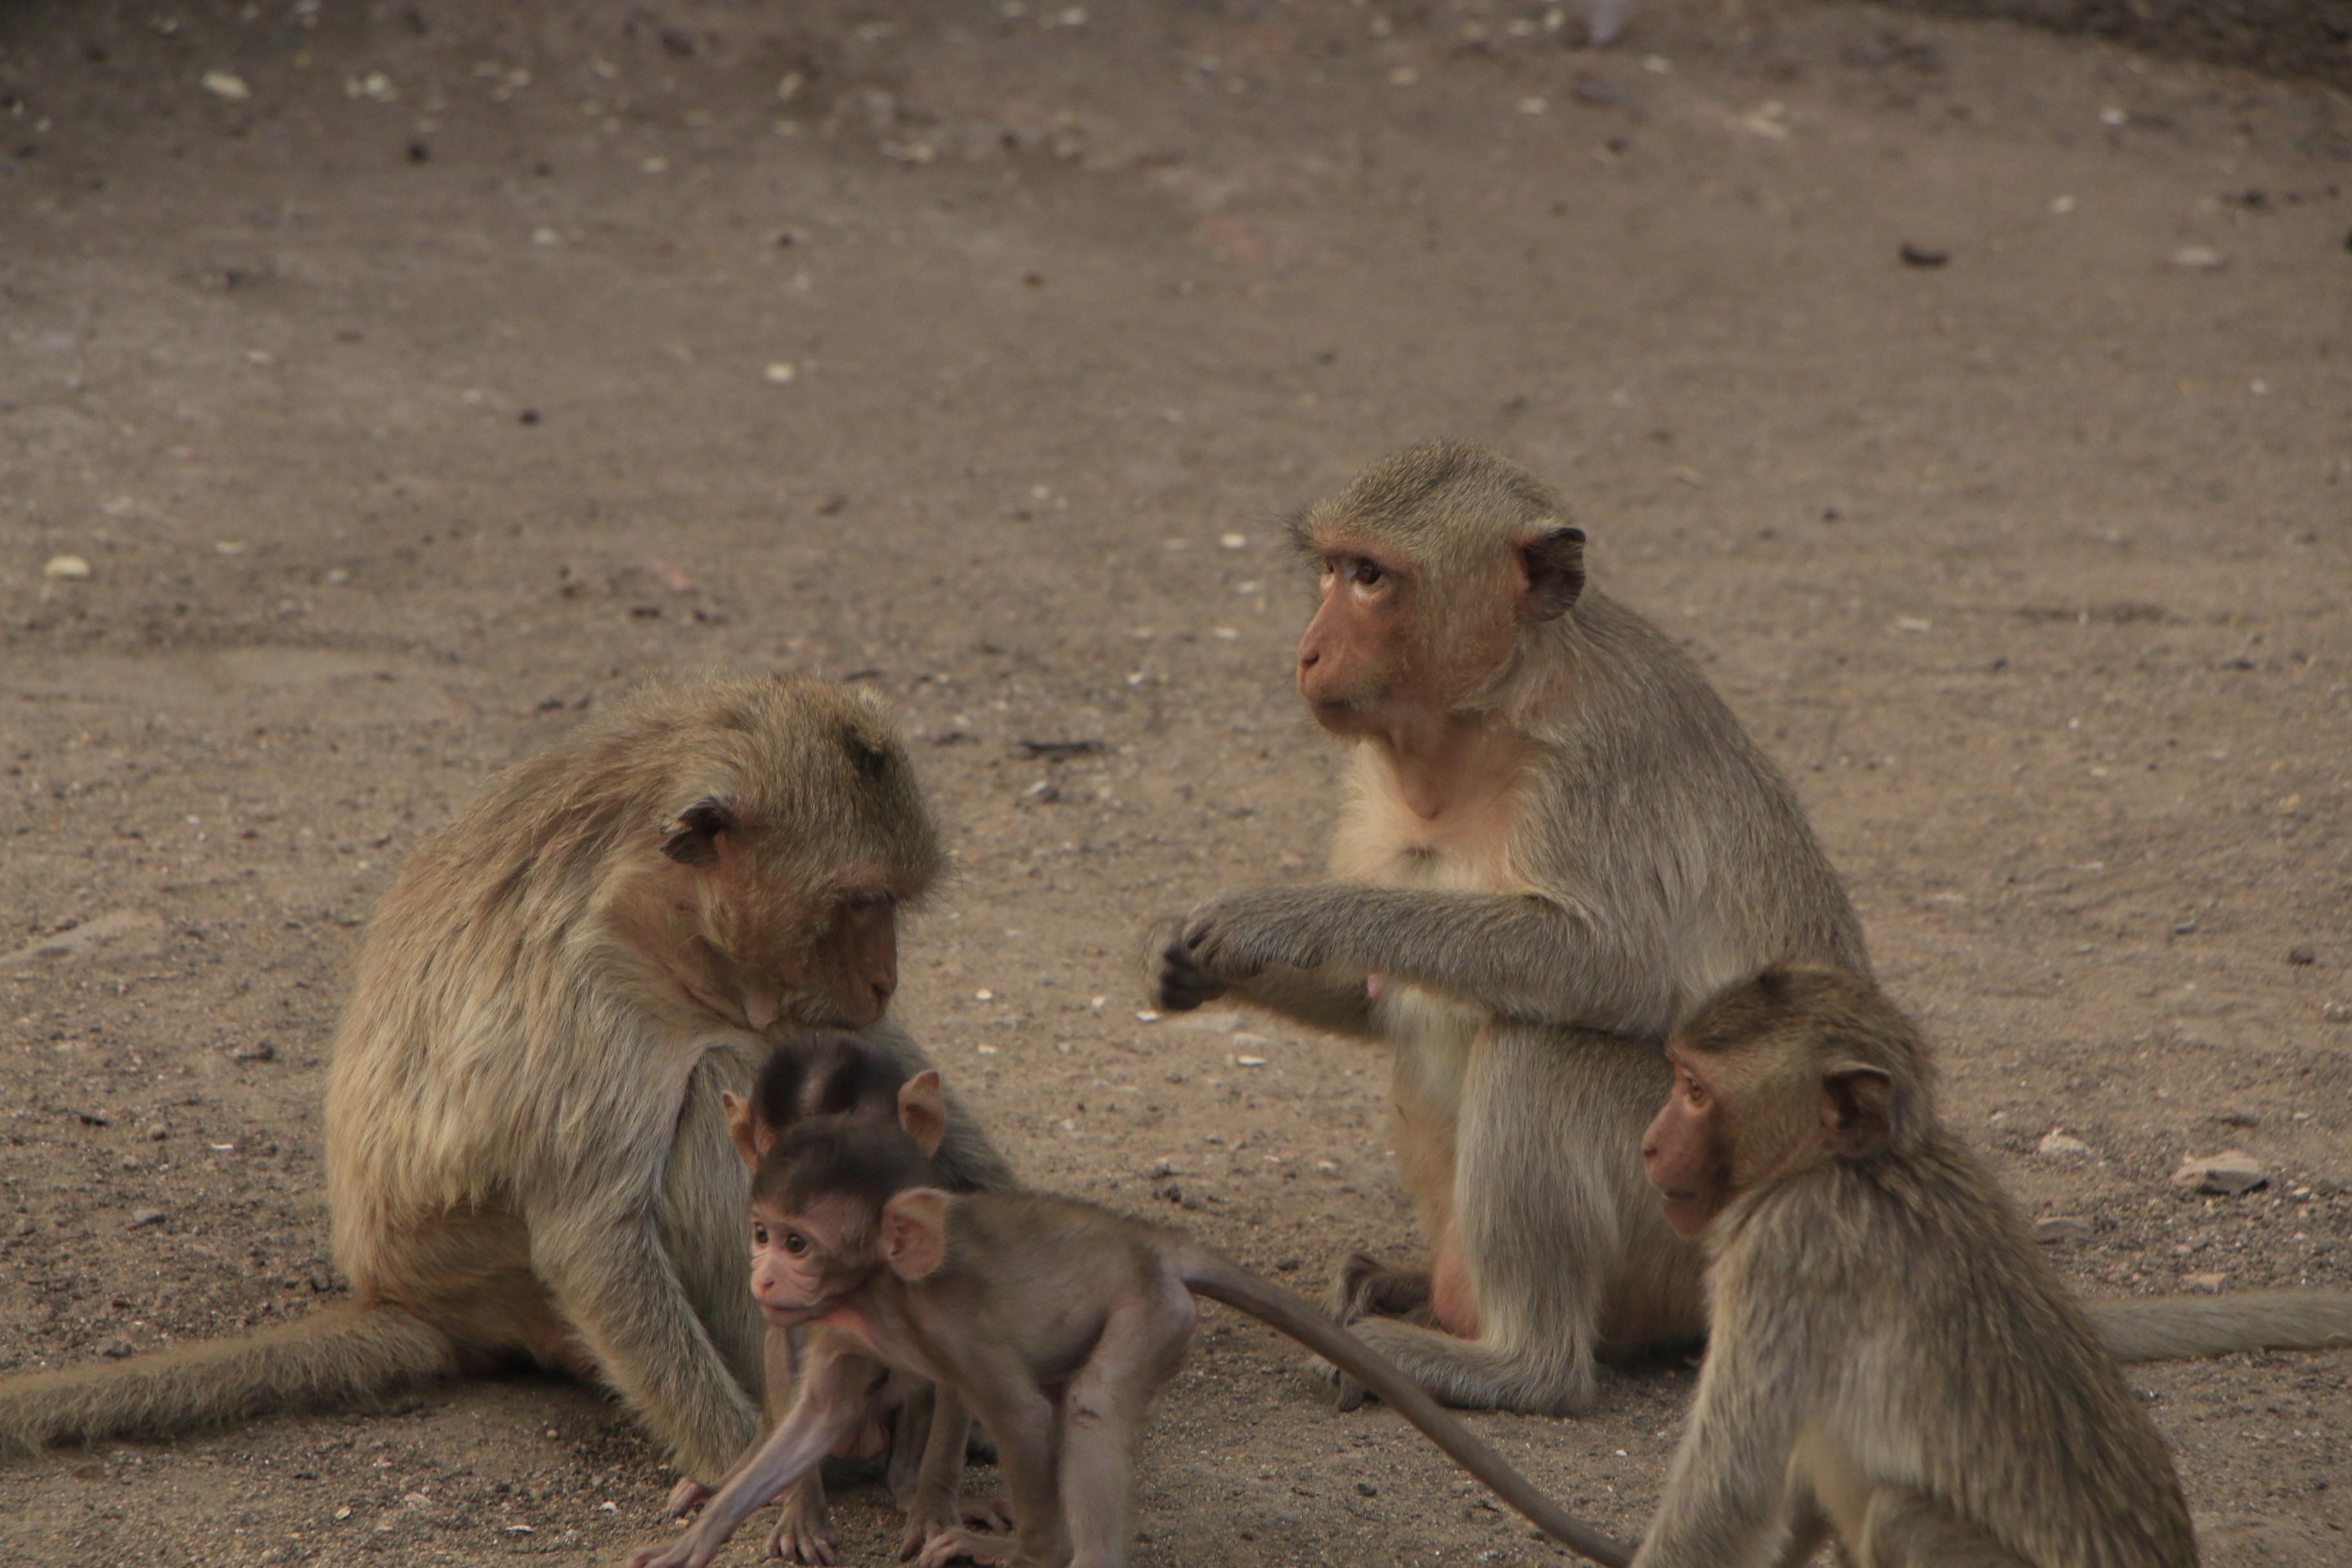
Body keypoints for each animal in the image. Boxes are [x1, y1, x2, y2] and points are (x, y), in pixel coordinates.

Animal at [0, 677, 988, 1485]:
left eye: (894, 904)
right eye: (863, 901)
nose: (883, 979)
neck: (659, 913)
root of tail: (397, 1290)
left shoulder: (784, 992)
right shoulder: (588, 989)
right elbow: (593, 1242)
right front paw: (746, 1472)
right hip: (494, 1274)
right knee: (717, 1085)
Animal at [625, 1043, 1637, 1568]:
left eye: (799, 1240)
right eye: (764, 1230)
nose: (765, 1271)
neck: (877, 1289)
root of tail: (1149, 1242)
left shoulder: (946, 1323)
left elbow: (1016, 1417)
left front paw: (977, 1535)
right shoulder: (835, 1327)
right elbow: (813, 1410)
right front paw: (727, 1528)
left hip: (1151, 1315)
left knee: (1092, 1407)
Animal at [1148, 439, 1863, 1410]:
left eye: (1371, 577)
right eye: (1331, 569)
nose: (1309, 651)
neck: (1486, 711)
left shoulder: (1597, 765)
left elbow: (1607, 965)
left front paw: (1278, 917)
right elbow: (1372, 995)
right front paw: (1192, 968)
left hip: (1688, 1197)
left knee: (1537, 1048)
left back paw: (1511, 1362)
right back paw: (1406, 1288)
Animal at [1627, 968, 2211, 1568]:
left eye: (1696, 1091)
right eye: (1683, 1080)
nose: (1651, 1145)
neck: (1847, 1166)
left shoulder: (1785, 1246)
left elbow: (1730, 1495)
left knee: (1899, 1515)